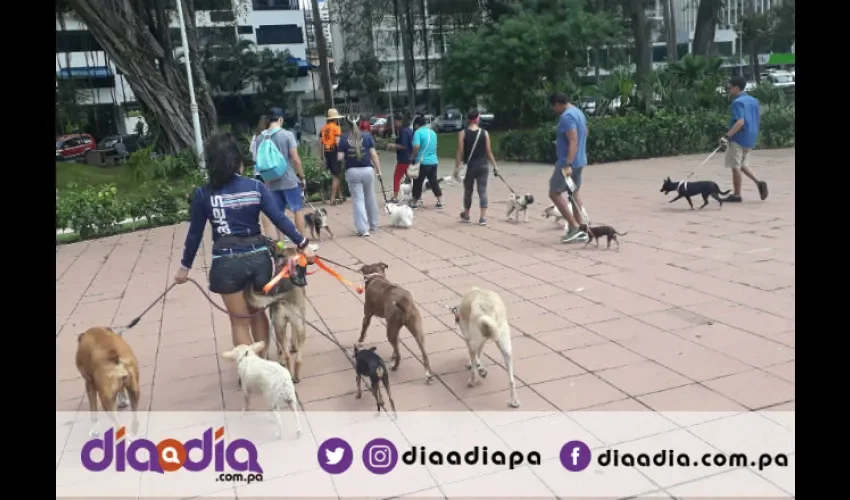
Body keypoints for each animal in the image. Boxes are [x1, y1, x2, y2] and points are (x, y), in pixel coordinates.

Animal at [245, 242, 308, 382]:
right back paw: (295, 374)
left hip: (280, 326)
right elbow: (293, 337)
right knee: (297, 358)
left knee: (290, 355)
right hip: (296, 326)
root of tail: (284, 298)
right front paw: (293, 346)